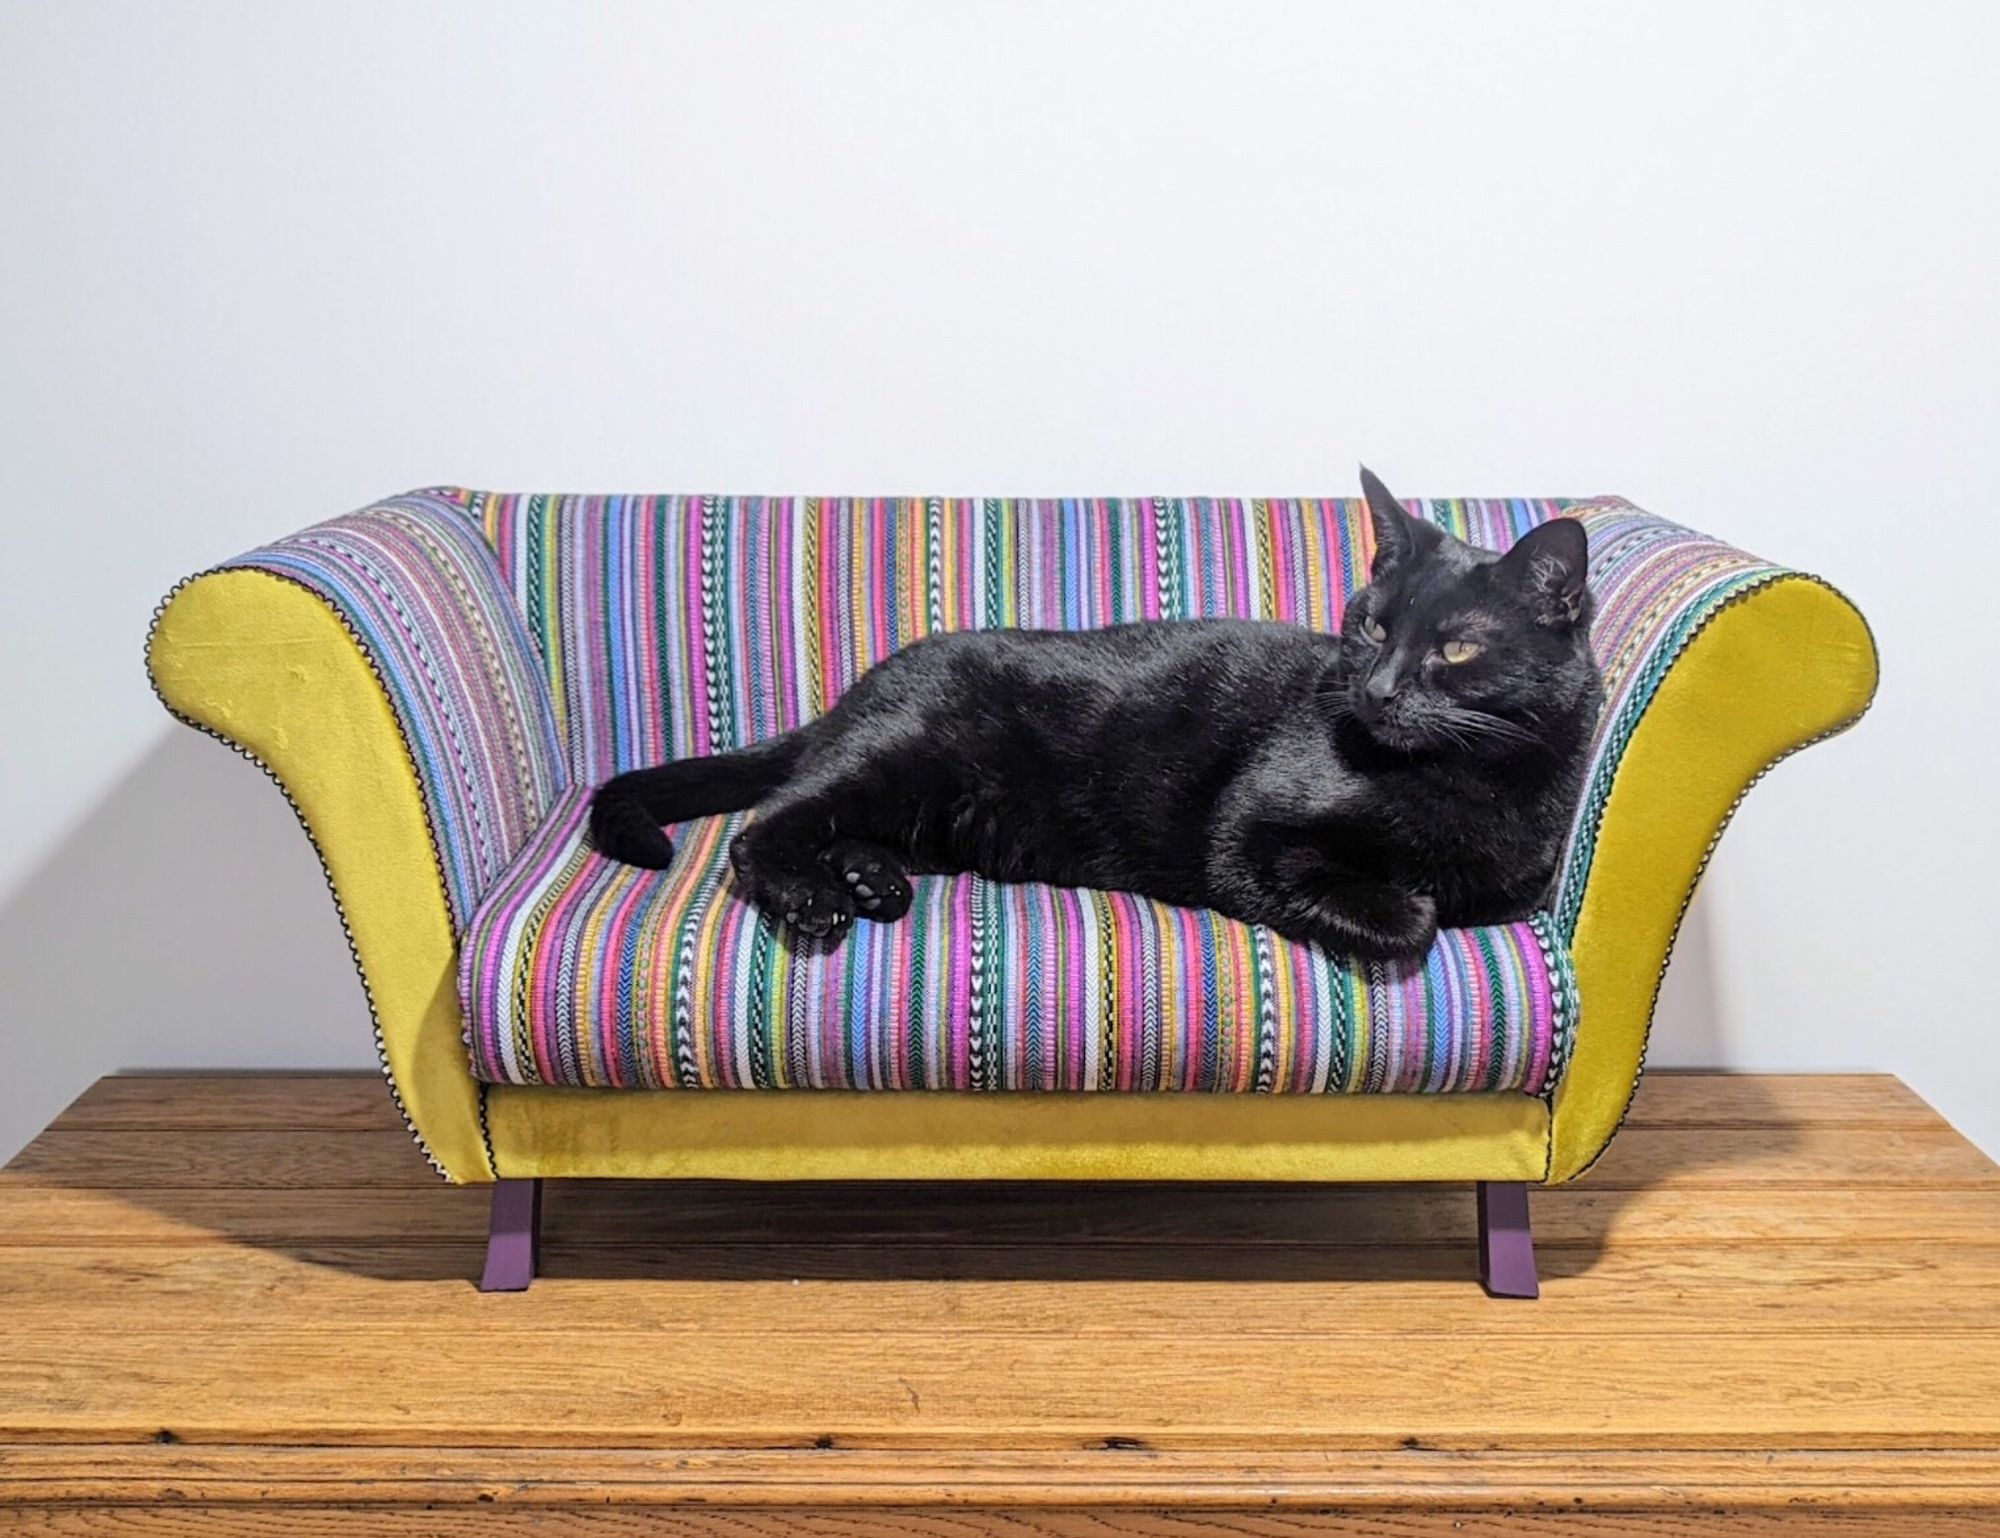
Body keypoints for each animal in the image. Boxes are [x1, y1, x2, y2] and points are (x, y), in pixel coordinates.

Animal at [584, 468, 1600, 960]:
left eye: (1455, 650)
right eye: (1372, 625)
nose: (1378, 687)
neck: (1462, 784)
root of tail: (862, 688)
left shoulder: (1519, 887)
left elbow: (1477, 898)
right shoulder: (1243, 833)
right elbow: (1408, 915)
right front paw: (1408, 896)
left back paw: (870, 880)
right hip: (899, 754)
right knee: (763, 825)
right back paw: (814, 895)